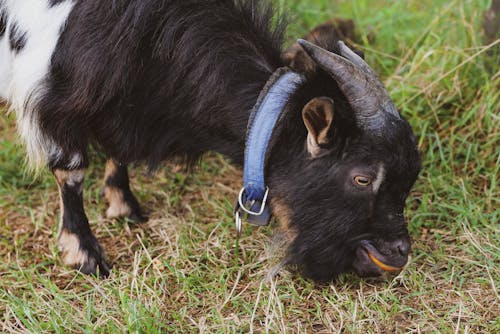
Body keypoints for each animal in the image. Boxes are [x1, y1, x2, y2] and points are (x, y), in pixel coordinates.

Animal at [1, 0, 420, 282]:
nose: (399, 252)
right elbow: (70, 172)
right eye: (362, 177)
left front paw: (124, 205)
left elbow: (118, 150)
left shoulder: (122, 103)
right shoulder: (56, 103)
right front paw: (84, 254)